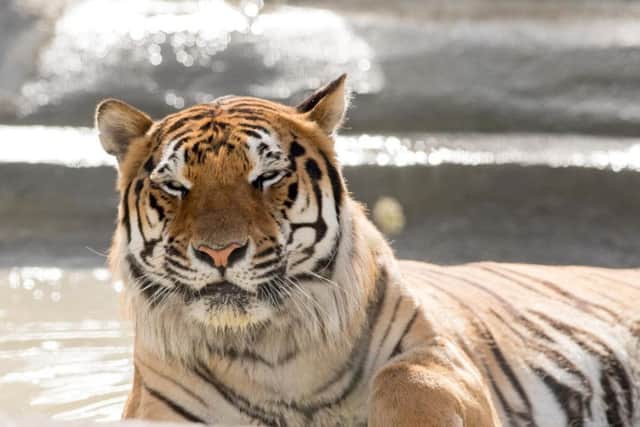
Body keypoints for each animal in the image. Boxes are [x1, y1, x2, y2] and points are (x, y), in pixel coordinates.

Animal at [95, 74, 640, 427]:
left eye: (266, 176)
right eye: (175, 185)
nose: (220, 253)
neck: (267, 352)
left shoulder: (436, 352)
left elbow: (406, 381)